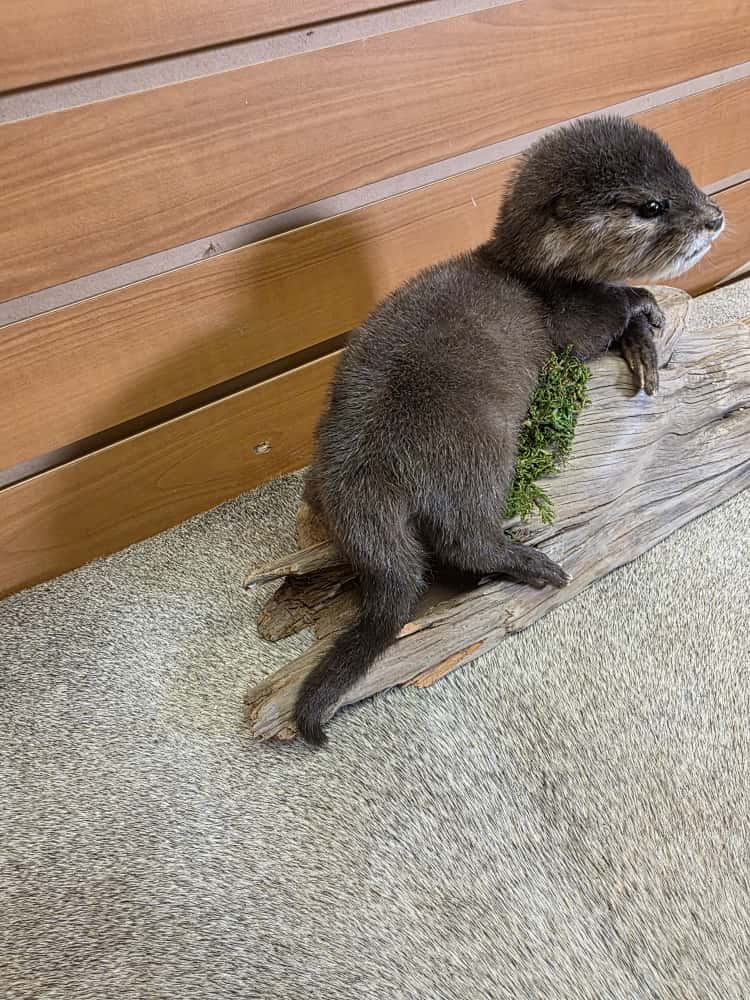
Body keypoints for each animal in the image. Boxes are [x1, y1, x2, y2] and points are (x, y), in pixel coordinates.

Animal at [294, 115, 724, 745]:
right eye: (653, 205)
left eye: (688, 175)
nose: (714, 216)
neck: (537, 278)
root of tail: (366, 473)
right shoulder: (570, 322)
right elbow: (606, 315)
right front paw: (642, 304)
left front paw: (646, 342)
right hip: (477, 452)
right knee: (462, 538)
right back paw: (535, 564)